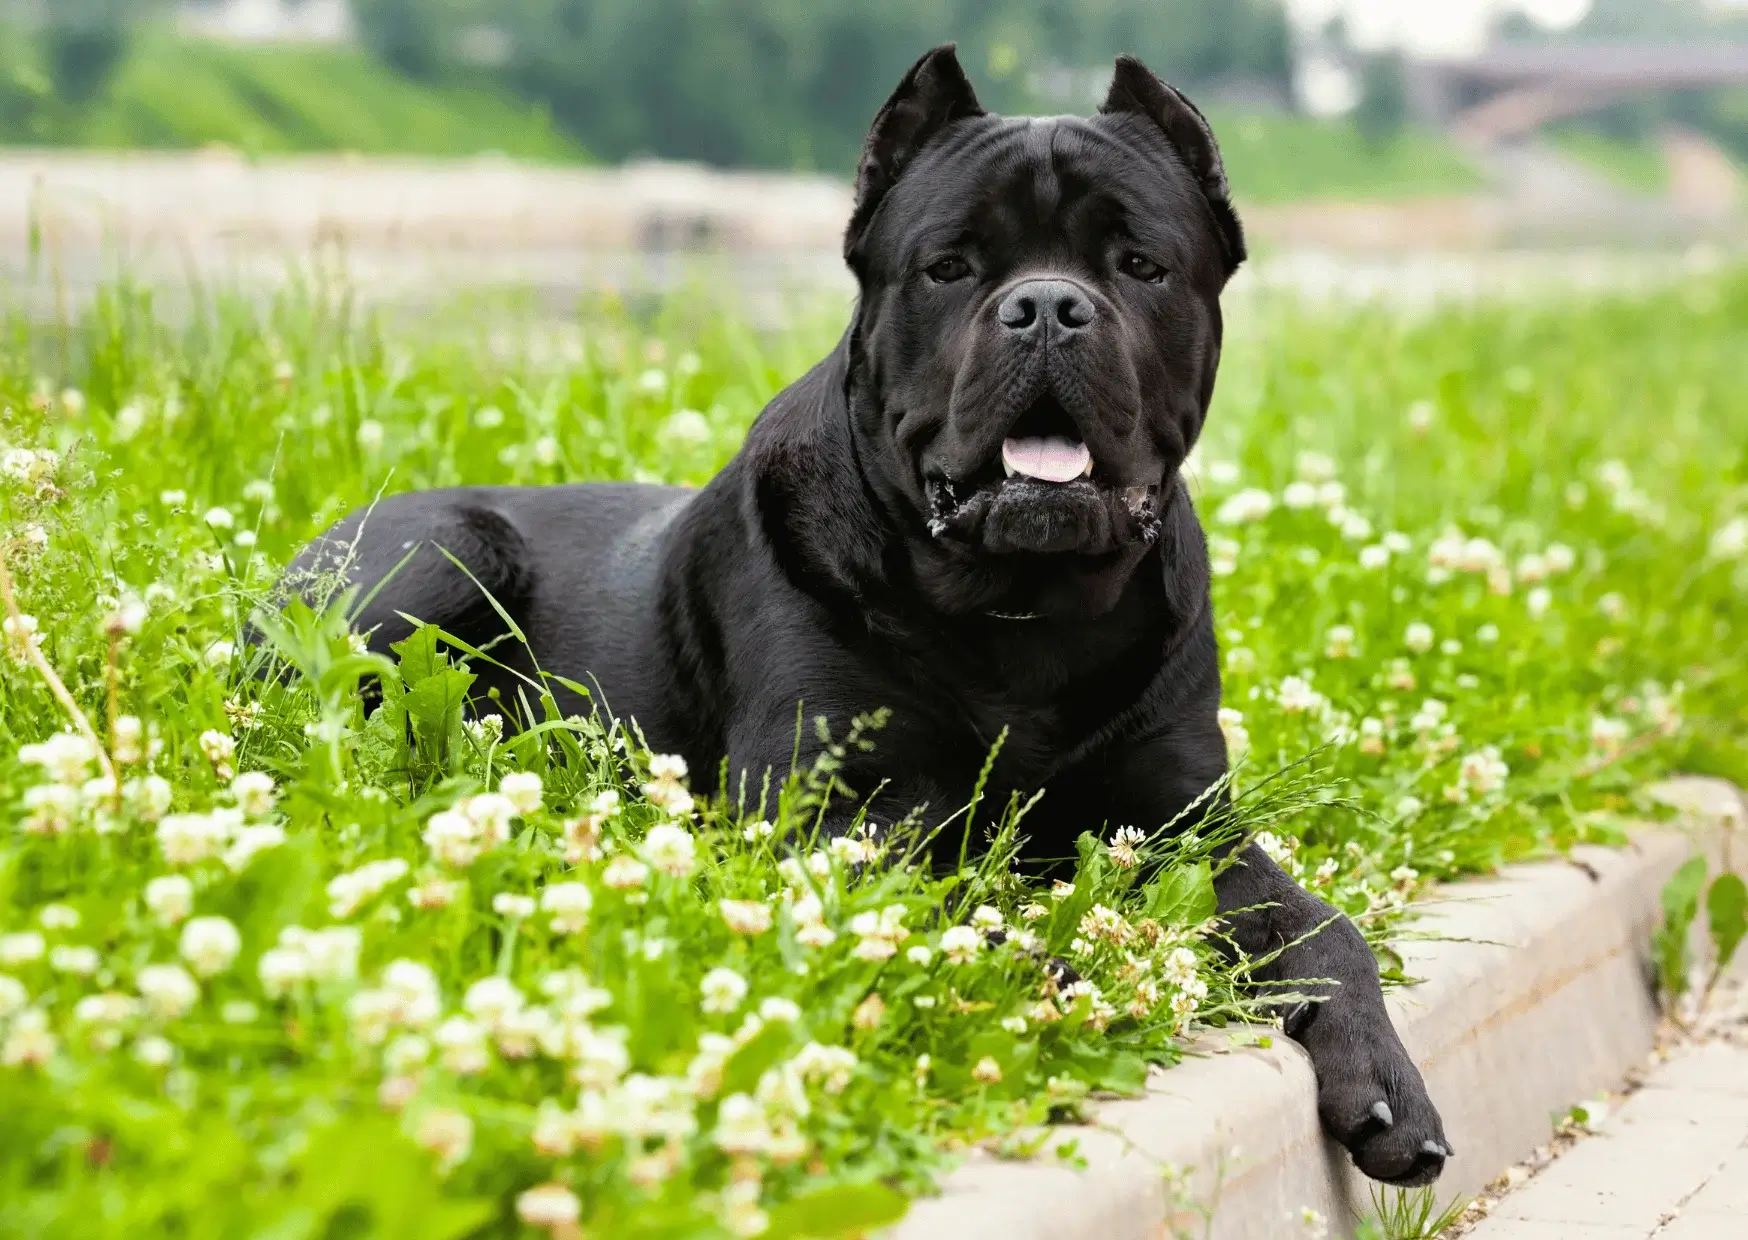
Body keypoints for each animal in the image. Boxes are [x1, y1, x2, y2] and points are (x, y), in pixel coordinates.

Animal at [293, 48, 1447, 1182]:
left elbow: (1320, 923)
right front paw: (1065, 974)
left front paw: (1388, 1084)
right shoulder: (831, 814)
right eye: (949, 267)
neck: (1020, 613)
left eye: (1137, 264)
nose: (1045, 306)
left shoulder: (1183, 819)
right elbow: (953, 913)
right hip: (443, 554)